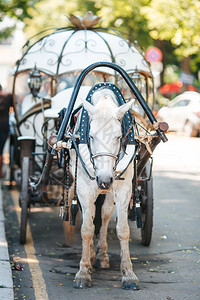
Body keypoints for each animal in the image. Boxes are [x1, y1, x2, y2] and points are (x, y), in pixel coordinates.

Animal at [69, 88, 138, 290]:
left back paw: (102, 255)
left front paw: (128, 273)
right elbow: (87, 229)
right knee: (91, 216)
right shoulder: (84, 189)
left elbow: (123, 229)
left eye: (118, 136)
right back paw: (92, 255)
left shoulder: (123, 189)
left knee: (105, 214)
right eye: (91, 136)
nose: (105, 180)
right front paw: (83, 272)